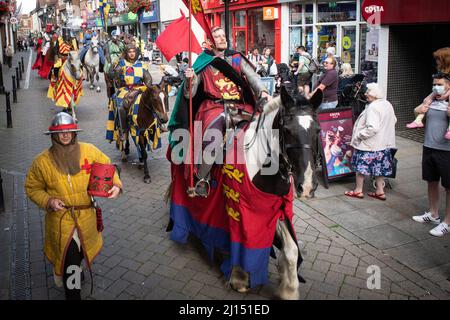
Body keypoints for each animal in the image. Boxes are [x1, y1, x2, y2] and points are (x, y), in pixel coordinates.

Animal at [167, 85, 322, 300]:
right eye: (287, 130)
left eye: (318, 130)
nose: (307, 185)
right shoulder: (240, 210)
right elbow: (241, 244)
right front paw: (239, 278)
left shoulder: (276, 208)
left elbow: (291, 250)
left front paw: (289, 290)